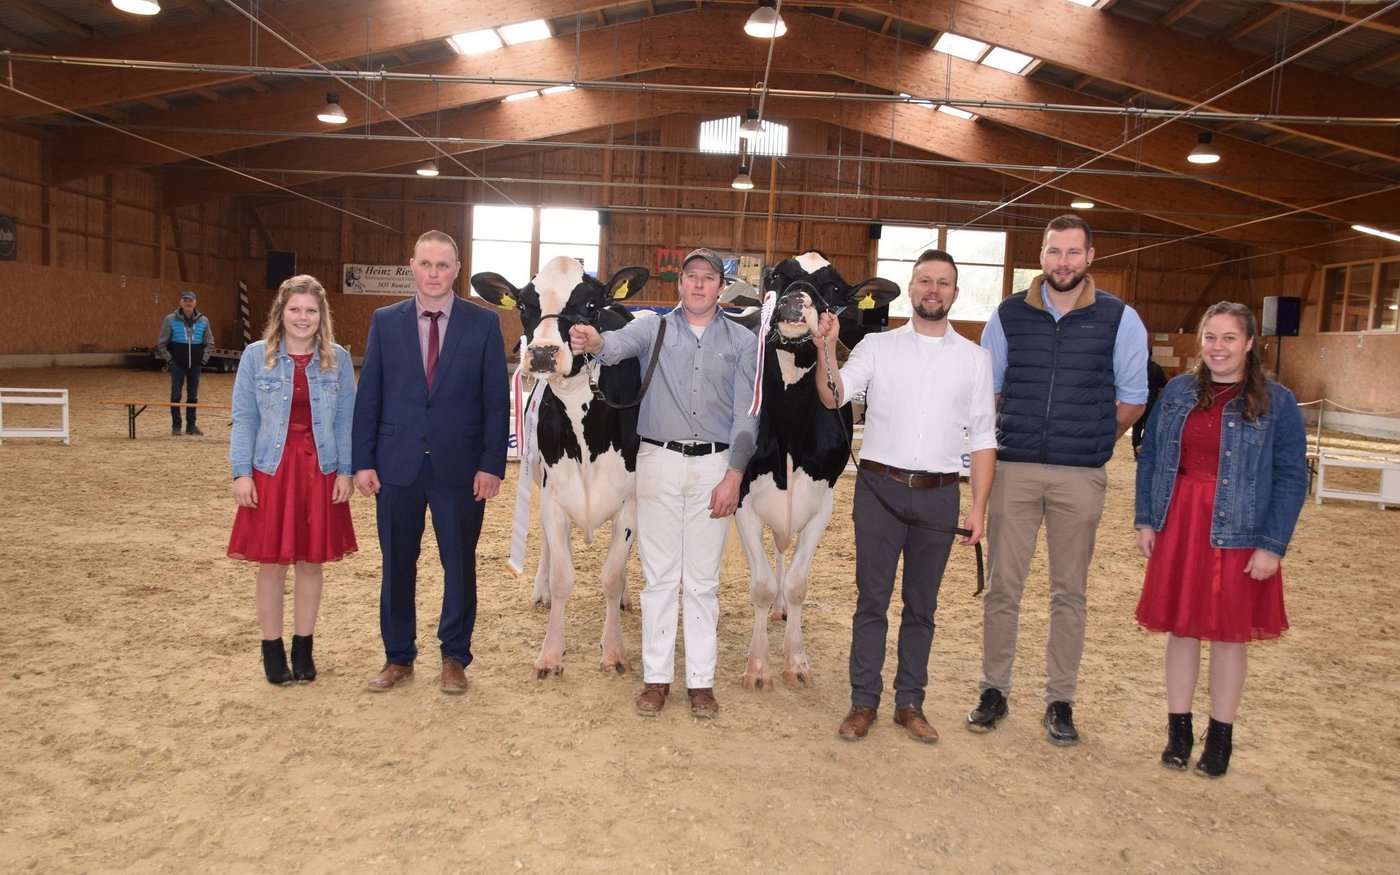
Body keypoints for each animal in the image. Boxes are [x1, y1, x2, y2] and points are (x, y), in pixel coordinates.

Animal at [471, 257, 649, 679]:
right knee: (548, 547)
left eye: (590, 305)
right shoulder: (555, 498)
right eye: (523, 305)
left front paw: (613, 650)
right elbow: (563, 575)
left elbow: (613, 575)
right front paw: (551, 653)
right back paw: (541, 592)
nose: (542, 352)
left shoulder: (630, 504)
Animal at [736, 251, 900, 689]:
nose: (796, 300)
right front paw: (758, 666)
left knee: (781, 550)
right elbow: (759, 585)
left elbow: (796, 584)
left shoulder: (822, 499)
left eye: (836, 288)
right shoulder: (741, 497)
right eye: (778, 275)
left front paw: (796, 661)